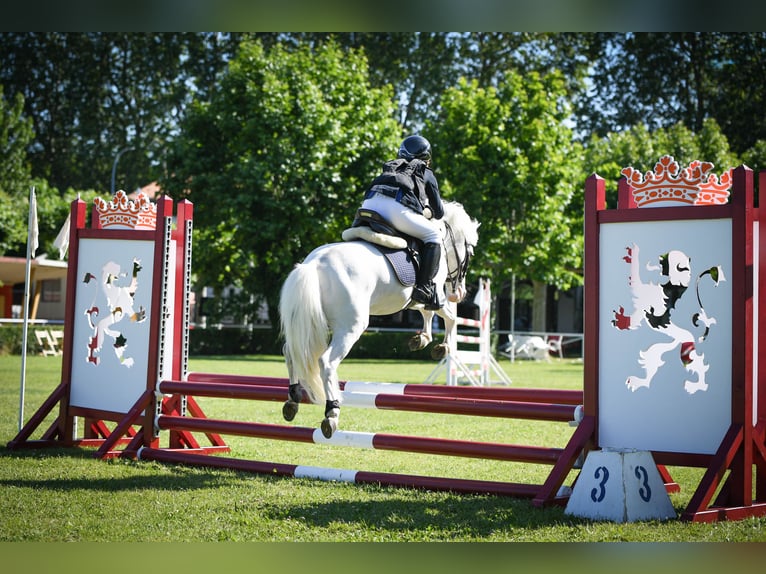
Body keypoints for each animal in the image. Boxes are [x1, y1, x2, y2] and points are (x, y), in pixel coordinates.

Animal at [280, 200, 476, 438]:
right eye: (469, 252)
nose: (460, 293)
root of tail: (315, 264)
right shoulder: (434, 292)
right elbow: (449, 316)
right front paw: (442, 346)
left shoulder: (415, 298)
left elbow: (427, 312)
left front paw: (422, 339)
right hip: (350, 327)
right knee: (326, 362)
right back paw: (331, 412)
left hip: (308, 323)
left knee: (291, 353)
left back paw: (293, 400)